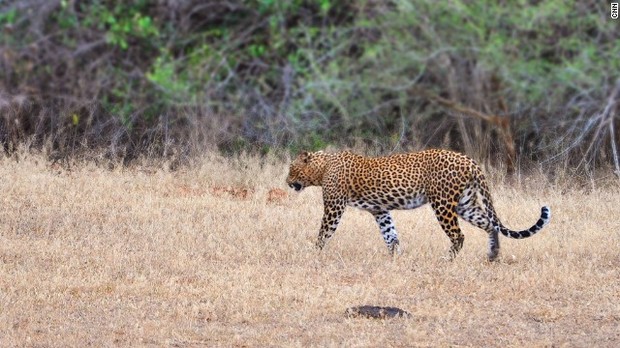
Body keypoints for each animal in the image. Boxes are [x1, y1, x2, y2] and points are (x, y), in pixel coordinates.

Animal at [286, 150, 552, 260]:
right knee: (489, 224)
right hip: (466, 204)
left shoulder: (334, 207)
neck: (322, 168)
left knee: (459, 235)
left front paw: (313, 253)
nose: (287, 182)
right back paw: (493, 255)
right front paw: (395, 257)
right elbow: (390, 234)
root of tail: (469, 161)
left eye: (291, 169)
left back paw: (447, 260)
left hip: (443, 203)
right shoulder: (380, 210)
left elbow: (324, 232)